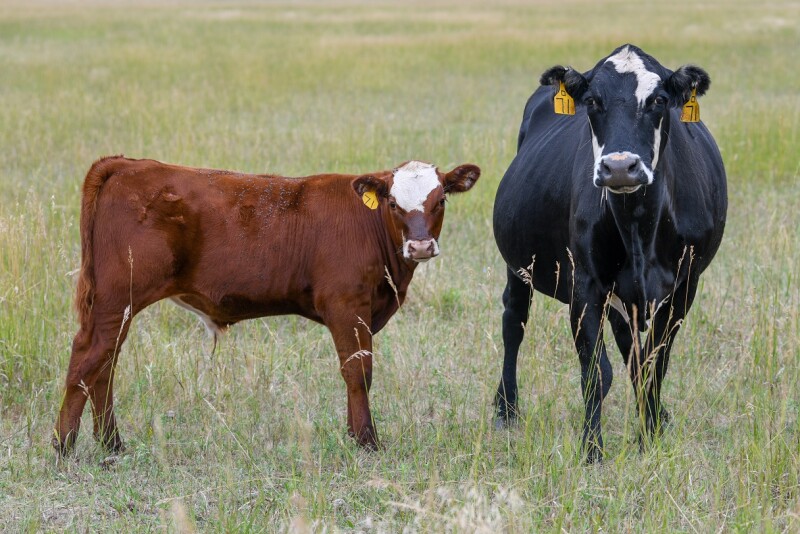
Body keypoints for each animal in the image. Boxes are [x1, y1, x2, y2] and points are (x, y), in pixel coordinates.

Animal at [53, 156, 479, 455]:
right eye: (392, 202)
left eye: (441, 199)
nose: (420, 246)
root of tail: (126, 164)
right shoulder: (347, 304)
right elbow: (358, 373)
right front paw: (367, 441)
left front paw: (353, 434)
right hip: (116, 299)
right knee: (87, 359)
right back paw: (63, 446)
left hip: (114, 306)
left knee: (104, 366)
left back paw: (111, 444)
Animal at [492, 45, 727, 462]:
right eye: (592, 101)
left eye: (659, 100)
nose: (620, 167)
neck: (639, 226)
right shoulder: (584, 284)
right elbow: (596, 372)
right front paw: (592, 449)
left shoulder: (685, 287)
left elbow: (652, 364)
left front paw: (650, 435)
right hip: (519, 264)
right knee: (513, 322)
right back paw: (506, 409)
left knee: (630, 350)